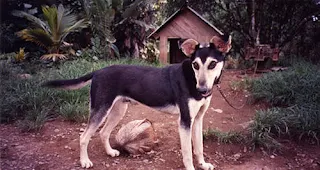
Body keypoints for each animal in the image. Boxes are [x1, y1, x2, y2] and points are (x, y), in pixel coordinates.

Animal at [43, 35, 232, 169]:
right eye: (195, 65)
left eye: (212, 64)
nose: (202, 90)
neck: (192, 79)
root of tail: (98, 71)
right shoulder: (185, 121)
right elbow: (187, 152)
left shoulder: (197, 119)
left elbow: (199, 147)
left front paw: (203, 164)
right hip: (101, 109)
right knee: (84, 137)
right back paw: (84, 161)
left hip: (118, 110)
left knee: (103, 132)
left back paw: (110, 152)